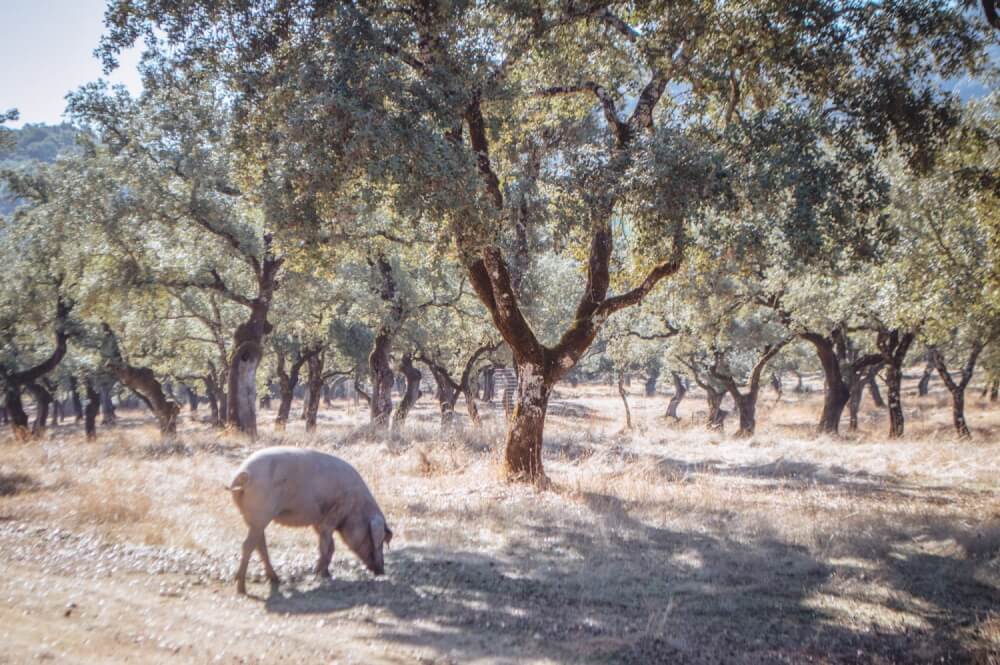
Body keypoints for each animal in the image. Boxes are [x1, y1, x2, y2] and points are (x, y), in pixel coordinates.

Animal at [229, 446, 392, 592]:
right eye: (375, 540)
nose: (382, 571)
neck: (357, 507)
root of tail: (243, 473)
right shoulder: (334, 515)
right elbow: (326, 546)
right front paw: (321, 574)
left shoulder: (318, 521)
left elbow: (330, 546)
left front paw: (324, 573)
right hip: (261, 513)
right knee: (248, 545)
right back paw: (241, 589)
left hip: (254, 518)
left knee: (260, 545)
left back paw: (274, 579)